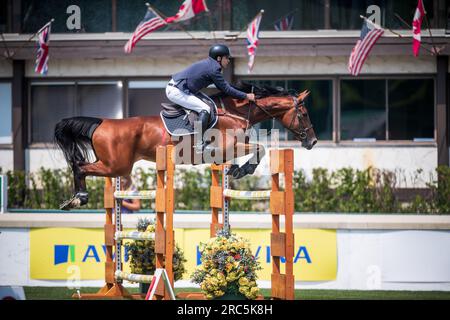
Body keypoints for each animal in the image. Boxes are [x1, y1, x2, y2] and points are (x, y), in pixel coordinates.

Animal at [54, 84, 318, 210]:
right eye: (304, 114)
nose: (313, 142)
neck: (235, 112)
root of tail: (102, 122)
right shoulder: (227, 147)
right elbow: (259, 148)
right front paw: (243, 170)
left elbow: (257, 149)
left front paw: (236, 170)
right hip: (117, 166)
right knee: (80, 166)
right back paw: (79, 198)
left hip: (114, 166)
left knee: (81, 165)